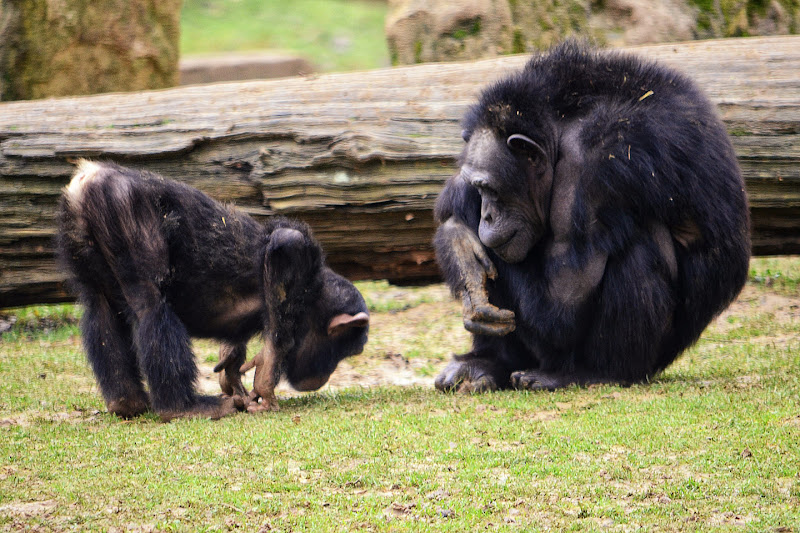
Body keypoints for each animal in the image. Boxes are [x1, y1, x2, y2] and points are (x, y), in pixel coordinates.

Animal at [57, 160, 370, 422]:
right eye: (345, 351)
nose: (325, 377)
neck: (312, 297)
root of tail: (87, 176)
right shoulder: (299, 263)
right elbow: (287, 243)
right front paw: (265, 380)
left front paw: (231, 367)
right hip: (121, 208)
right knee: (150, 301)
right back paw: (182, 406)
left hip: (78, 228)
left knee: (98, 307)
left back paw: (126, 404)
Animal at [432, 40, 752, 390]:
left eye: (490, 188)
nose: (486, 215)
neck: (560, 133)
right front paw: (460, 243)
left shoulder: (592, 171)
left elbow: (566, 301)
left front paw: (458, 237)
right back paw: (484, 364)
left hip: (634, 359)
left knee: (641, 244)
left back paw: (590, 373)